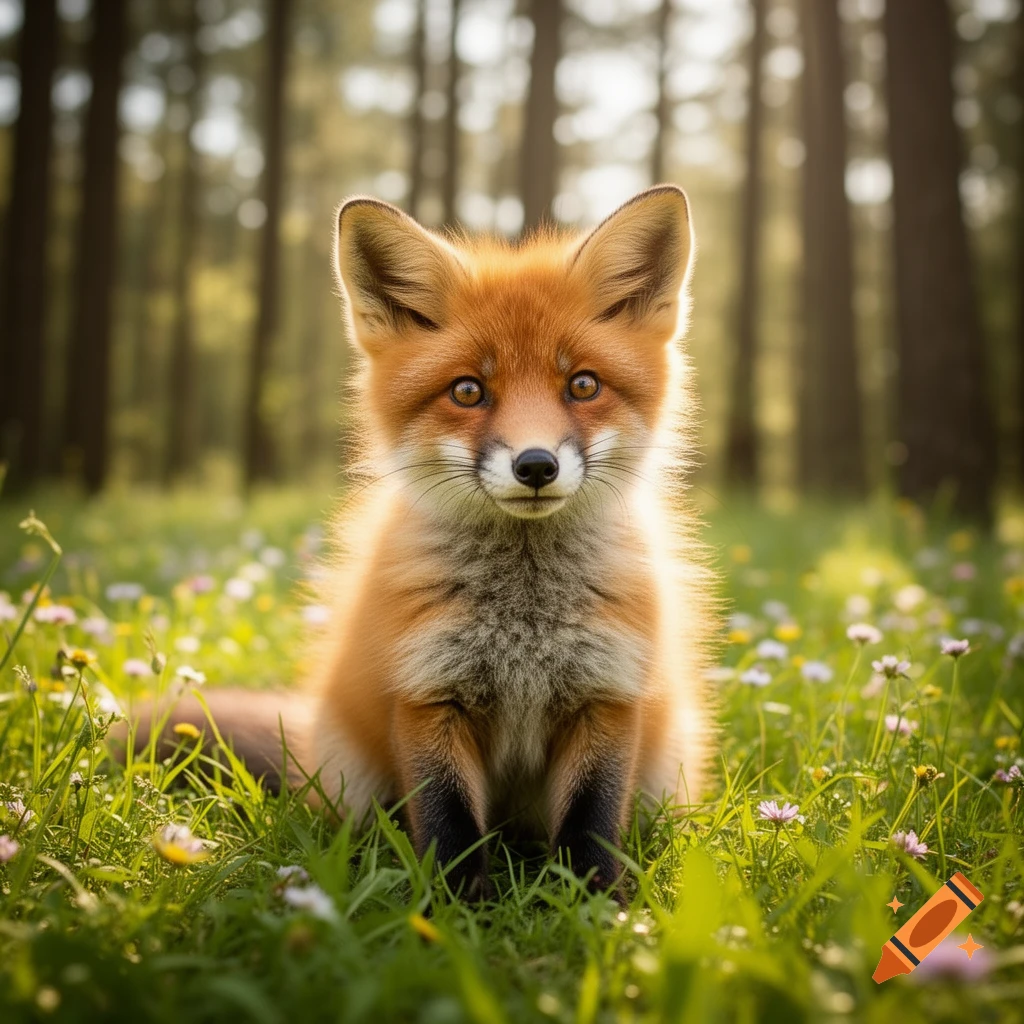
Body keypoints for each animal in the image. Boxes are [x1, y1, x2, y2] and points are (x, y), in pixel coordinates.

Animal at [125, 184, 716, 899]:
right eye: (468, 390)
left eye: (583, 385)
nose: (536, 466)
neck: (525, 620)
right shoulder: (426, 694)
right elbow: (448, 824)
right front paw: (457, 913)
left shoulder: (607, 695)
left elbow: (591, 825)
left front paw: (599, 906)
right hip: (355, 776)